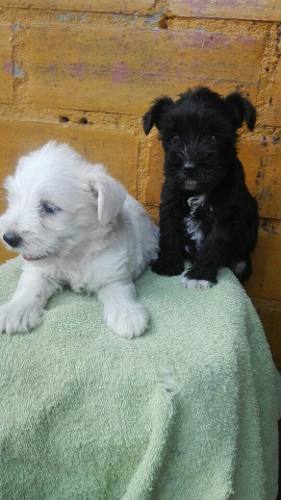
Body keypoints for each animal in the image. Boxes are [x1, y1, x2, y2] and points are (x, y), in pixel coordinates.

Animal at [0, 143, 158, 338]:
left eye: (49, 208)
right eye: (12, 200)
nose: (8, 238)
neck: (75, 253)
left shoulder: (113, 273)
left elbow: (119, 292)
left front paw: (127, 315)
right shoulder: (39, 272)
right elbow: (29, 287)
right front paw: (15, 310)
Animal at [143, 88, 258, 288]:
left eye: (213, 137)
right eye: (174, 138)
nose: (189, 167)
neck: (198, 190)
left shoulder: (224, 216)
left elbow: (212, 245)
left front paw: (199, 276)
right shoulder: (170, 204)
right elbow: (169, 233)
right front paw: (168, 265)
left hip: (242, 263)